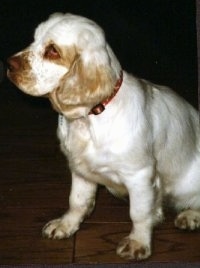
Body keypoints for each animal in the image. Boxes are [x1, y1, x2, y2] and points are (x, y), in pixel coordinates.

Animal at [6, 12, 200, 260]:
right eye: (34, 39)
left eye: (53, 51)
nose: (8, 64)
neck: (90, 118)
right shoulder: (81, 170)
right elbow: (77, 201)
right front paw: (65, 225)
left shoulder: (139, 175)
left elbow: (138, 212)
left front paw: (137, 243)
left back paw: (190, 216)